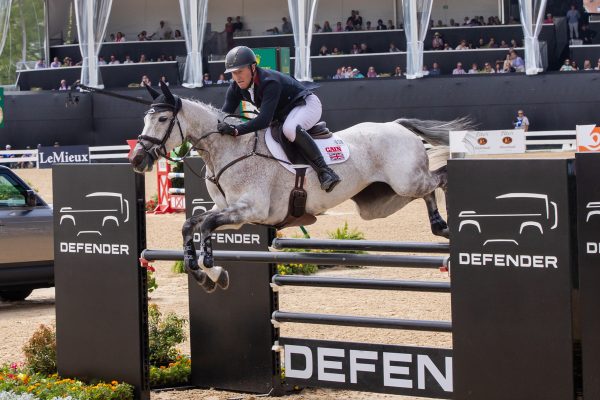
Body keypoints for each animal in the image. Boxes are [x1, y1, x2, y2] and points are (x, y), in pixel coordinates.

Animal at [130, 83, 474, 292]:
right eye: (146, 118)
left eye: (162, 119)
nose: (136, 159)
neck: (228, 149)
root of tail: (397, 125)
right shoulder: (233, 212)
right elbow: (191, 224)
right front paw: (203, 274)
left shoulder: (251, 209)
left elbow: (206, 226)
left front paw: (212, 270)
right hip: (385, 200)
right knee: (428, 189)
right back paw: (439, 226)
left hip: (406, 181)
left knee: (439, 178)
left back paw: (446, 226)